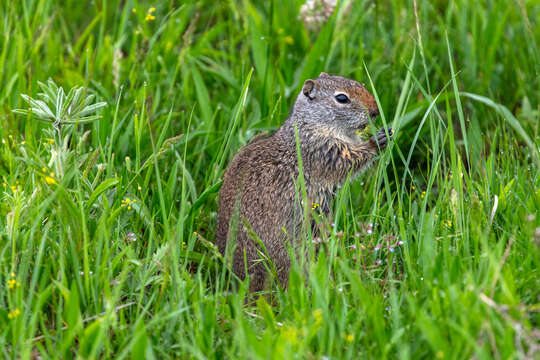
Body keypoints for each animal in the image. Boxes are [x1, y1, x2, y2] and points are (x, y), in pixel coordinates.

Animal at [216, 72, 392, 292]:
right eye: (342, 98)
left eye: (360, 84)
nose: (375, 111)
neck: (309, 124)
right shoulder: (323, 150)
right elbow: (350, 161)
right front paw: (377, 141)